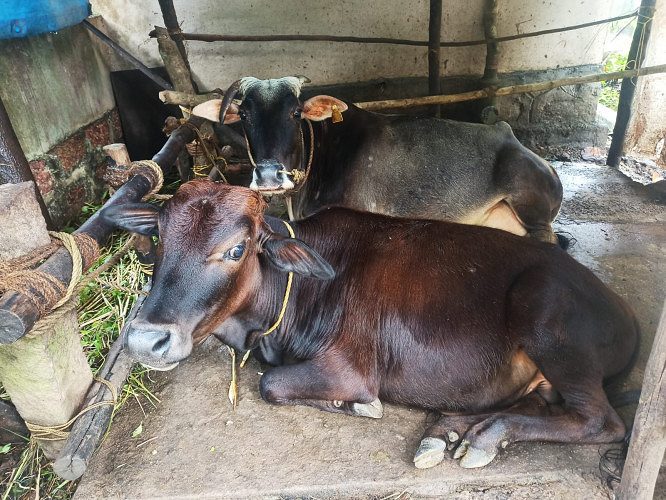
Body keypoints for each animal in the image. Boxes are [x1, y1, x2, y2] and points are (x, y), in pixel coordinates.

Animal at [101, 180, 638, 469]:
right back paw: (448, 431)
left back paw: (486, 435)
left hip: (546, 317)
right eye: (158, 236)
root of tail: (625, 310)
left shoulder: (350, 367)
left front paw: (357, 407)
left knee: (601, 421)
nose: (146, 340)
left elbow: (271, 385)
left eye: (236, 249)